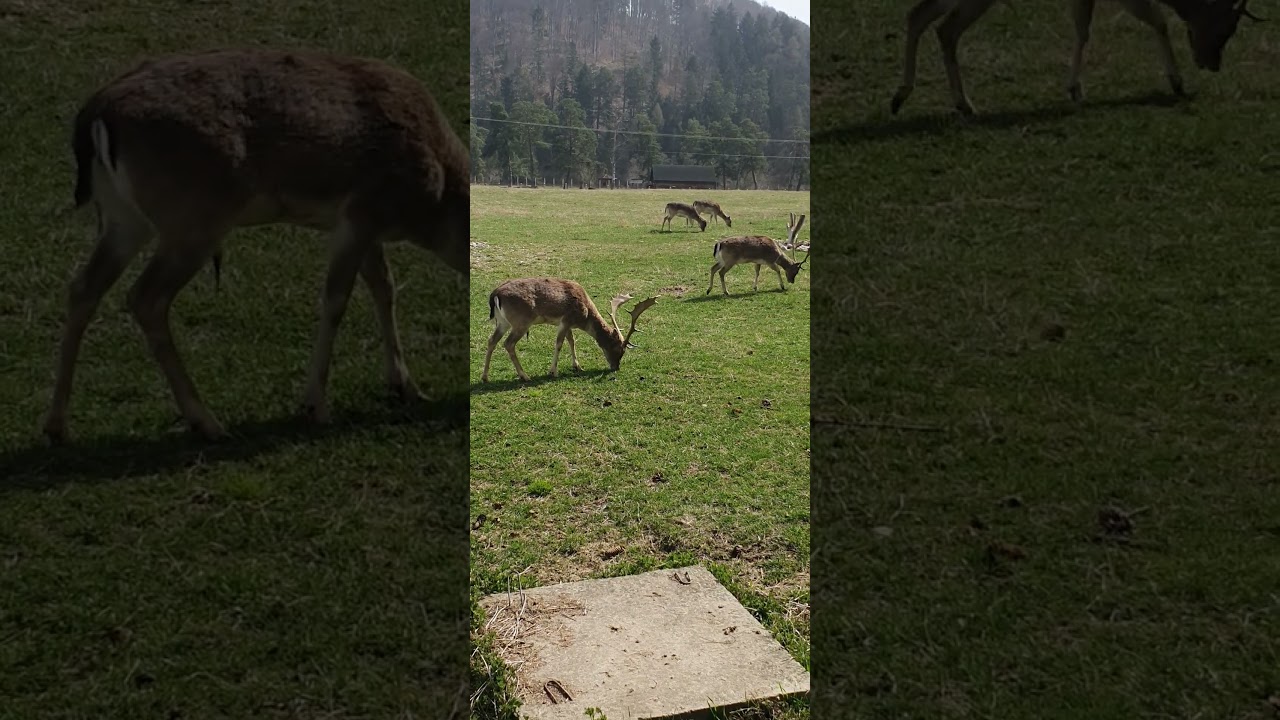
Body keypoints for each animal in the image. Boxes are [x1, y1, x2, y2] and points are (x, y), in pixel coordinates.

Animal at [41, 48, 470, 443]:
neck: (433, 202)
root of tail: (97, 111)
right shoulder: (362, 212)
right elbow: (336, 299)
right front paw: (315, 406)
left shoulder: (361, 225)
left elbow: (384, 287)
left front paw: (406, 386)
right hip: (193, 219)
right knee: (146, 297)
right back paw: (207, 422)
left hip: (123, 218)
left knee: (84, 287)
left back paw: (56, 426)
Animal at [481, 278, 659, 383]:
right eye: (618, 349)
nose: (616, 367)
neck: (585, 316)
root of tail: (495, 294)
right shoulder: (566, 320)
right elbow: (559, 343)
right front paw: (553, 371)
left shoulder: (567, 324)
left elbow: (571, 341)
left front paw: (577, 366)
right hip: (521, 322)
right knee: (508, 344)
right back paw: (524, 376)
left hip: (502, 322)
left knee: (491, 340)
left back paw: (485, 377)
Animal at [890, 0, 1265, 116]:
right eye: (1226, 28)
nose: (1212, 64)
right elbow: (1157, 20)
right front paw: (1177, 82)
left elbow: (1083, 28)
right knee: (942, 27)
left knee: (925, 19)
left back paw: (910, 98)